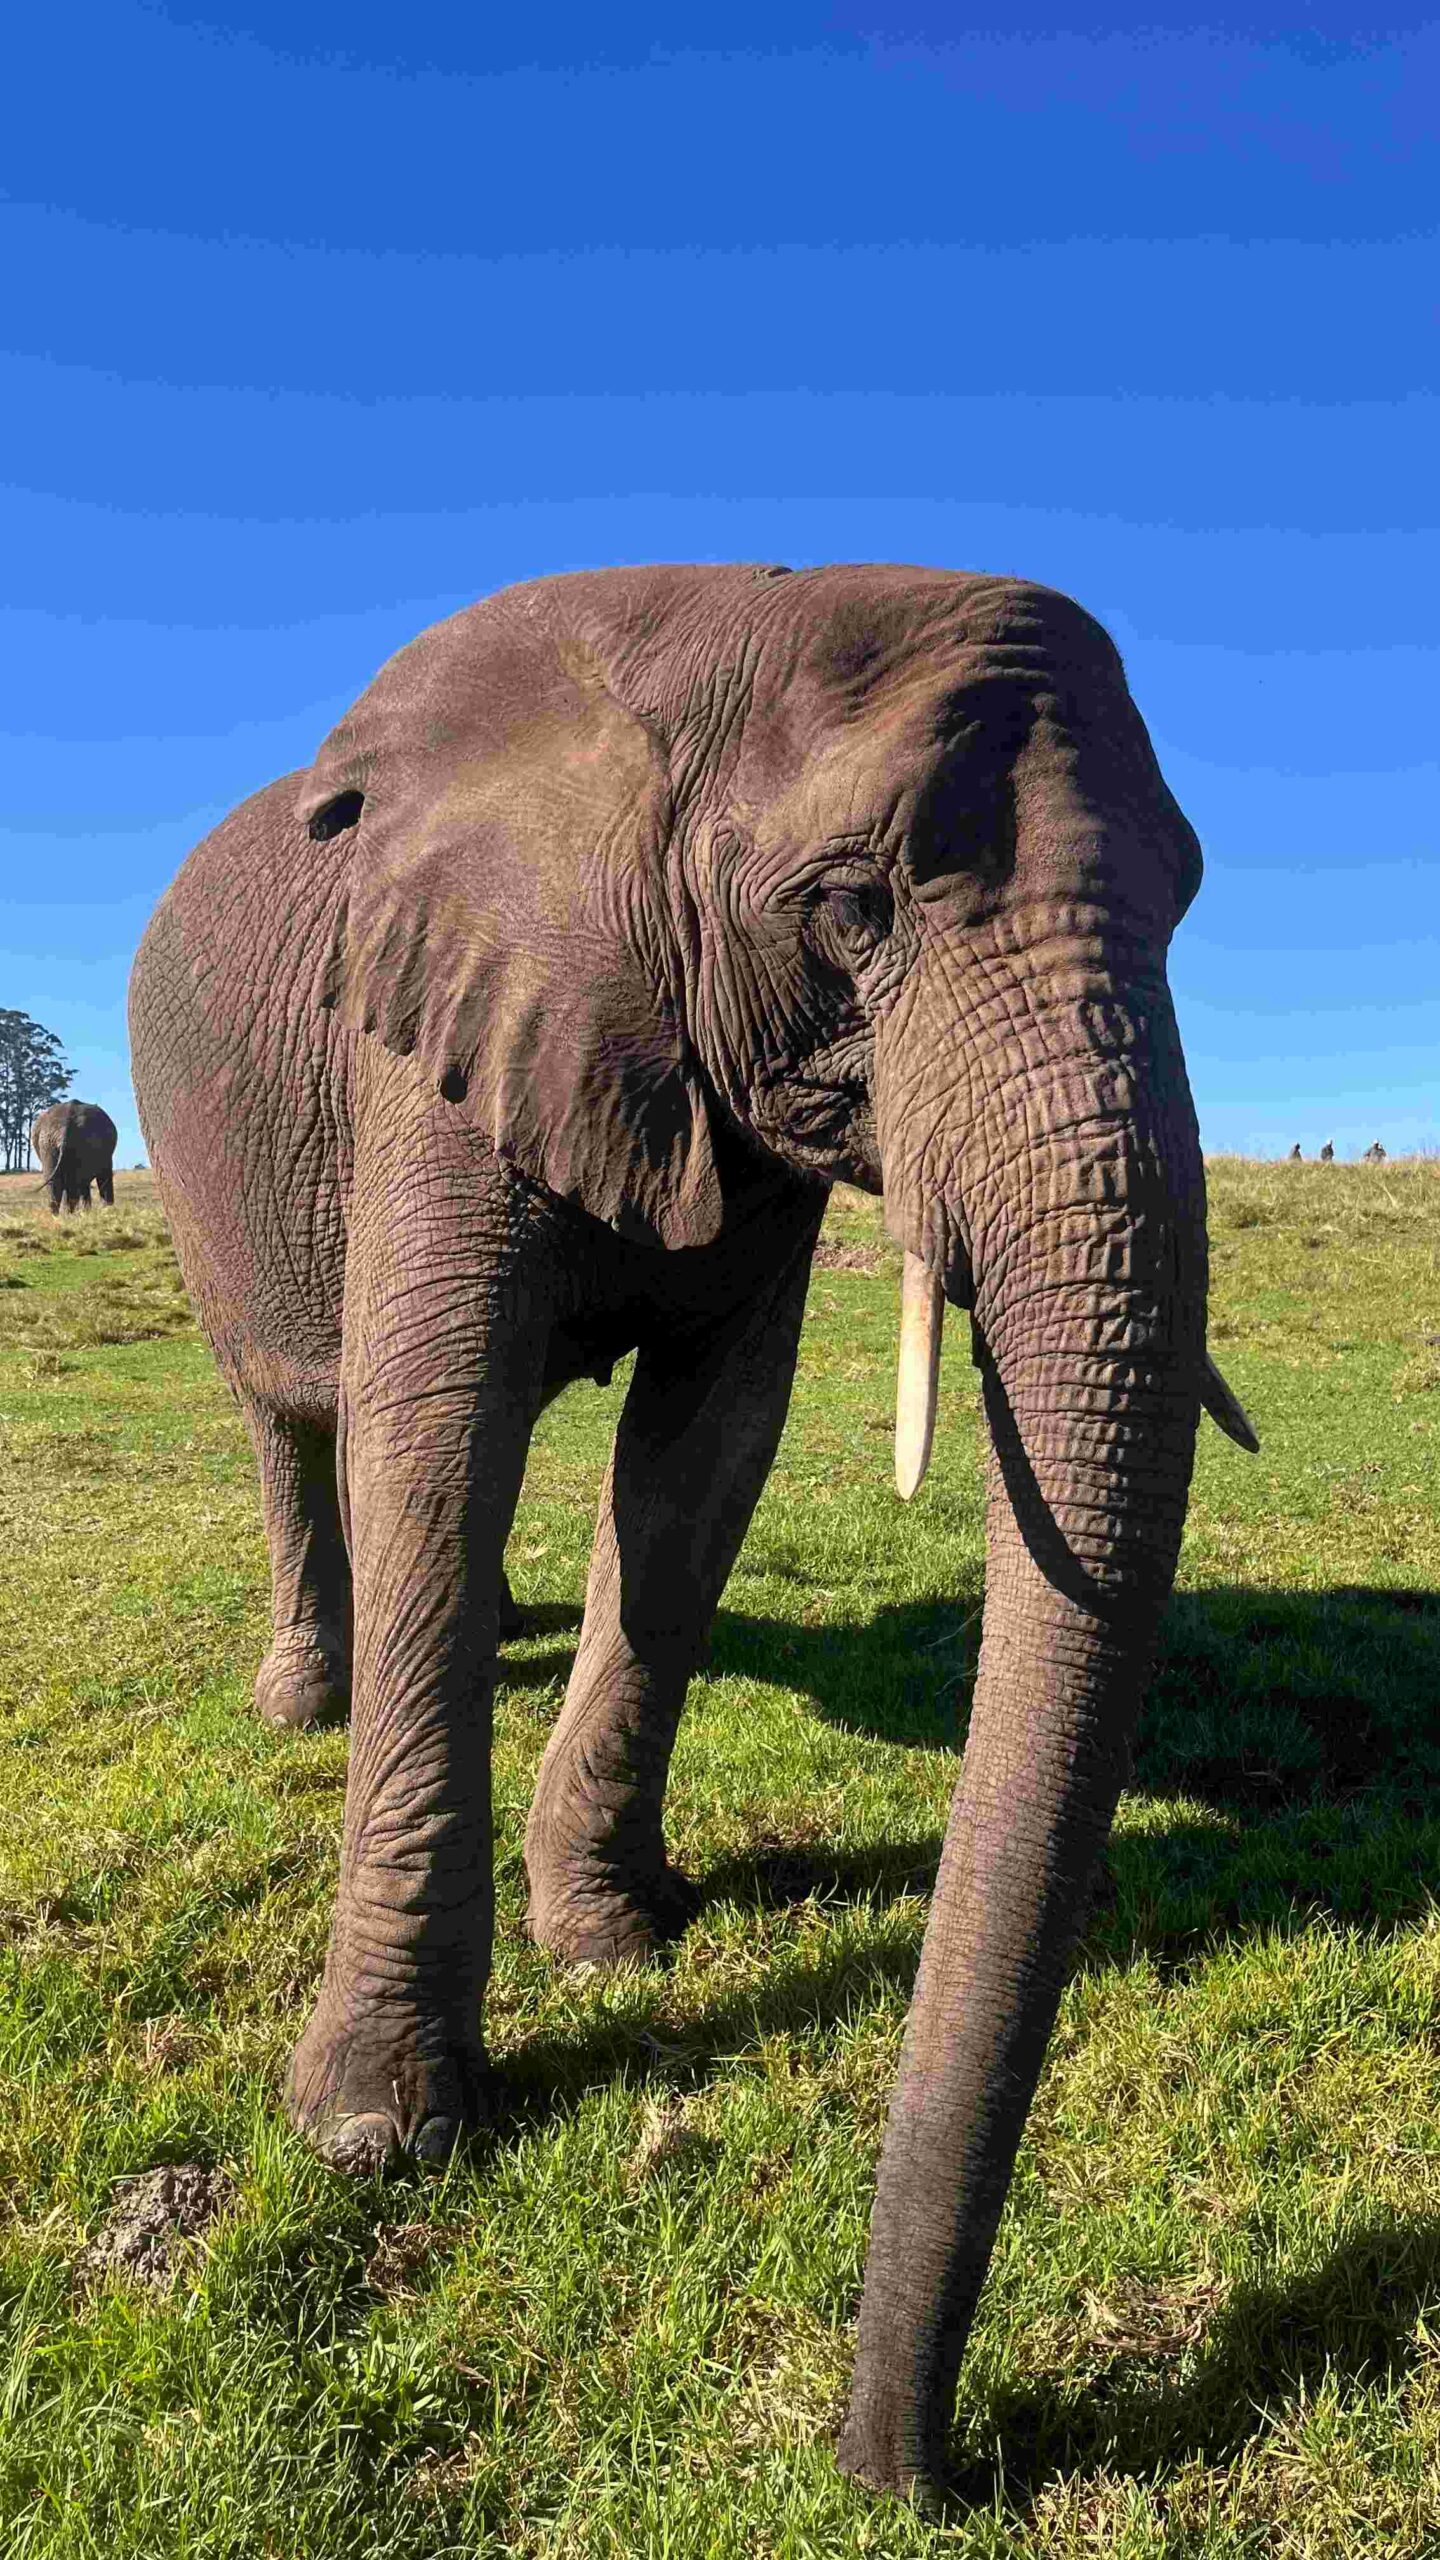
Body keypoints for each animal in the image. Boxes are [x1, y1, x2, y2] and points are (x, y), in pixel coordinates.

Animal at [128, 563, 1257, 2506]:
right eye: (852, 909)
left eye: (1188, 895)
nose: (921, 2475)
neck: (717, 632)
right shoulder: (432, 1029)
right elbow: (435, 1438)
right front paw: (374, 2134)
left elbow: (703, 1459)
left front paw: (615, 1940)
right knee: (292, 1421)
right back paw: (299, 1703)